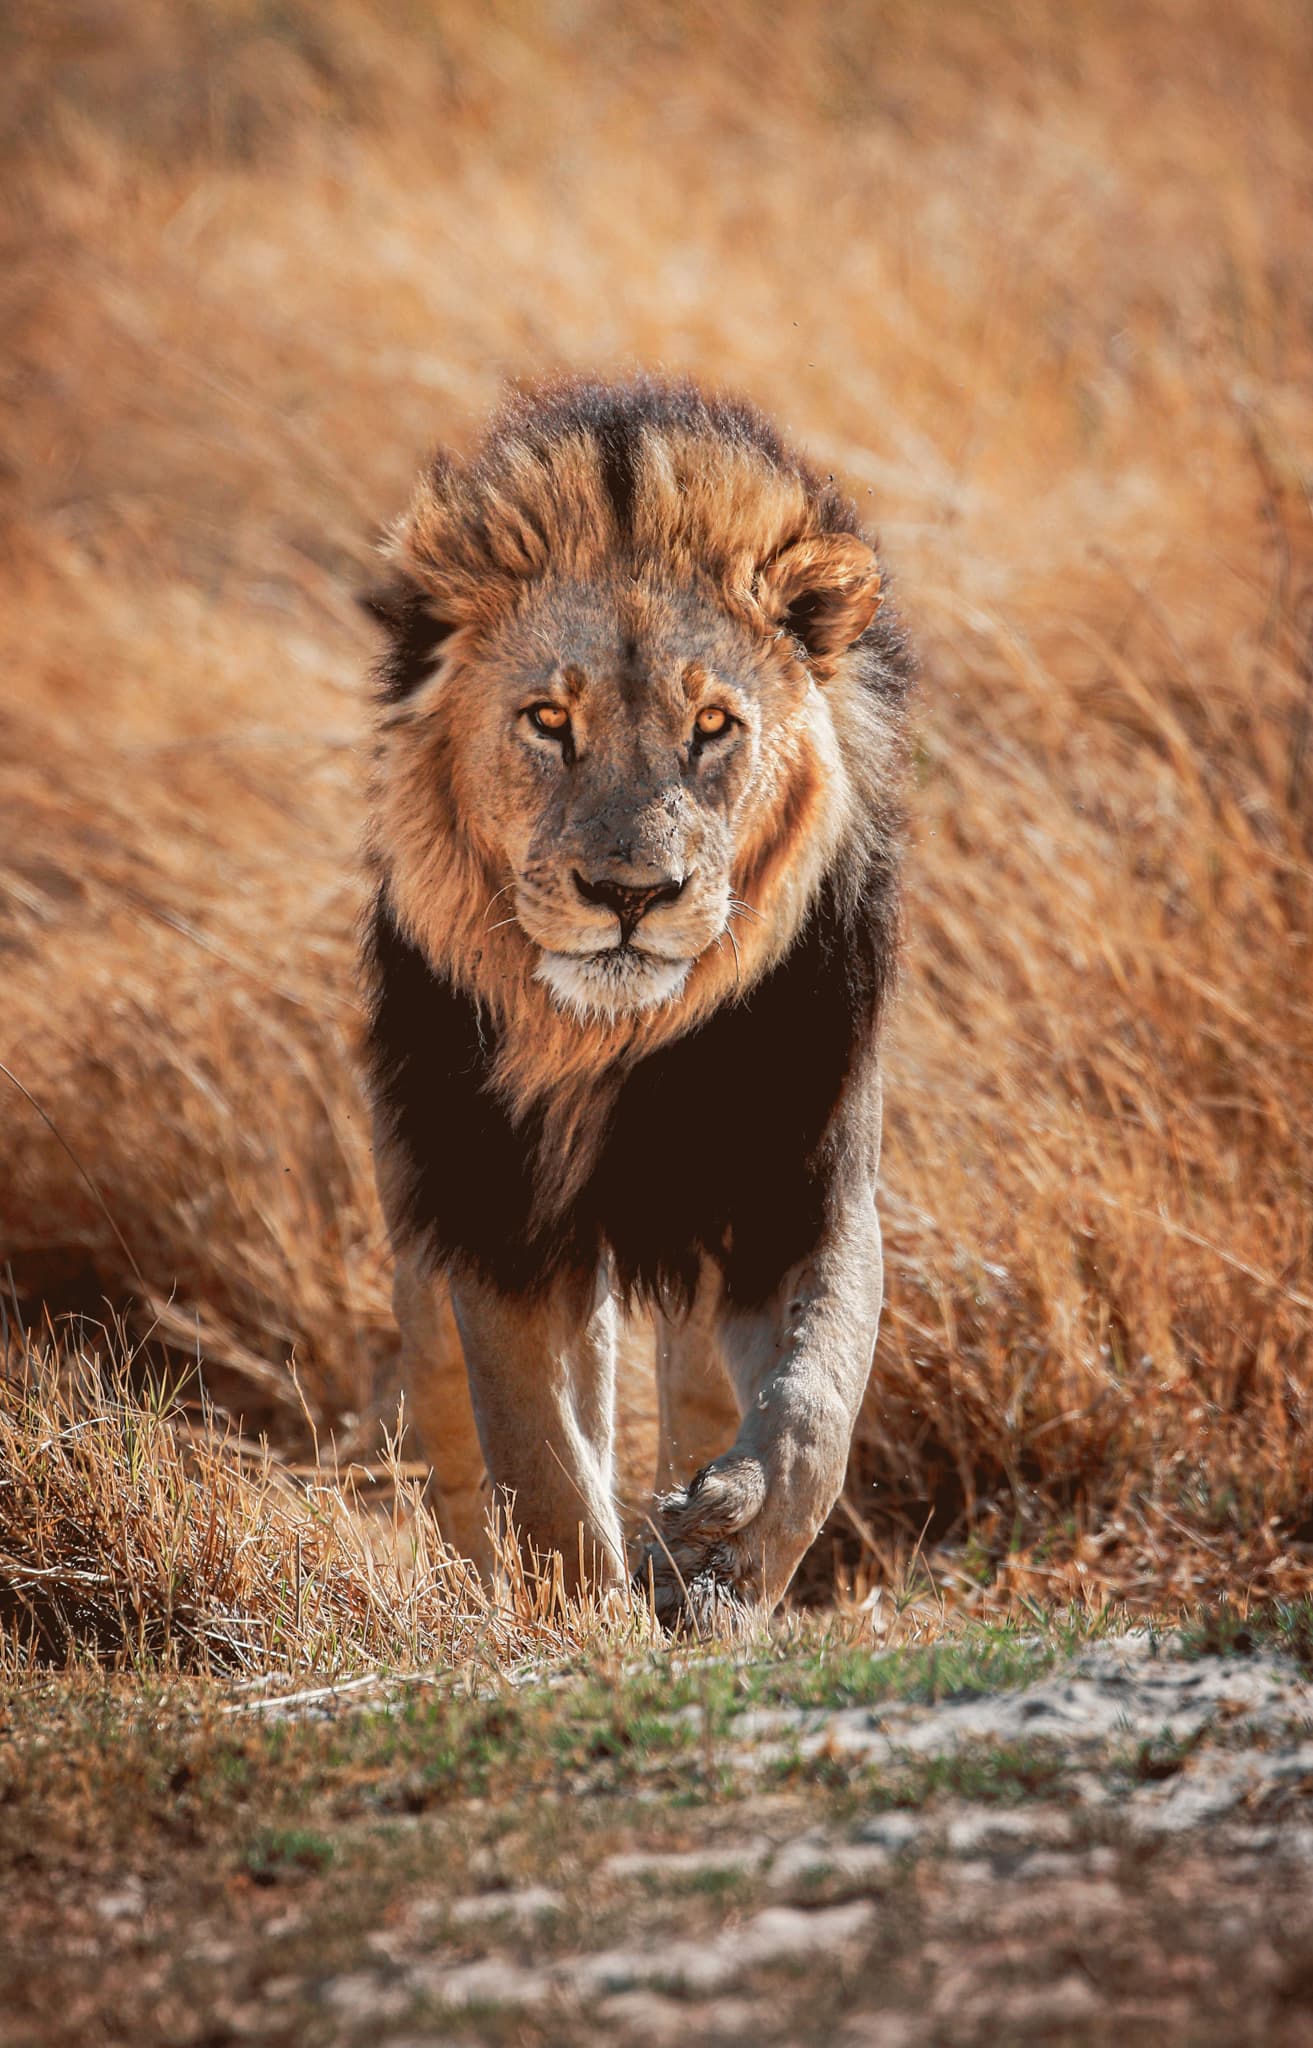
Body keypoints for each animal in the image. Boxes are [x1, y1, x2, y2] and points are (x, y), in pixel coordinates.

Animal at [361, 374, 912, 1624]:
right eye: (547, 721)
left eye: (711, 726)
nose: (628, 894)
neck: (618, 1040)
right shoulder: (499, 1210)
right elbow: (538, 1450)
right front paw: (579, 1610)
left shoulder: (800, 1181)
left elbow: (814, 1404)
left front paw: (729, 1552)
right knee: (467, 1409)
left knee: (701, 1382)